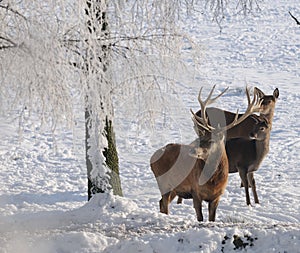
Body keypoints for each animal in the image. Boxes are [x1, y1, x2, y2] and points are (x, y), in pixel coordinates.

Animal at [150, 85, 262, 221]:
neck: (213, 181)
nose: (192, 150)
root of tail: (152, 158)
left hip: (174, 188)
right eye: (200, 138)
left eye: (211, 140)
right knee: (164, 204)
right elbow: (200, 218)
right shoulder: (195, 192)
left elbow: (211, 218)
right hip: (163, 182)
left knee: (161, 202)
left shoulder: (217, 196)